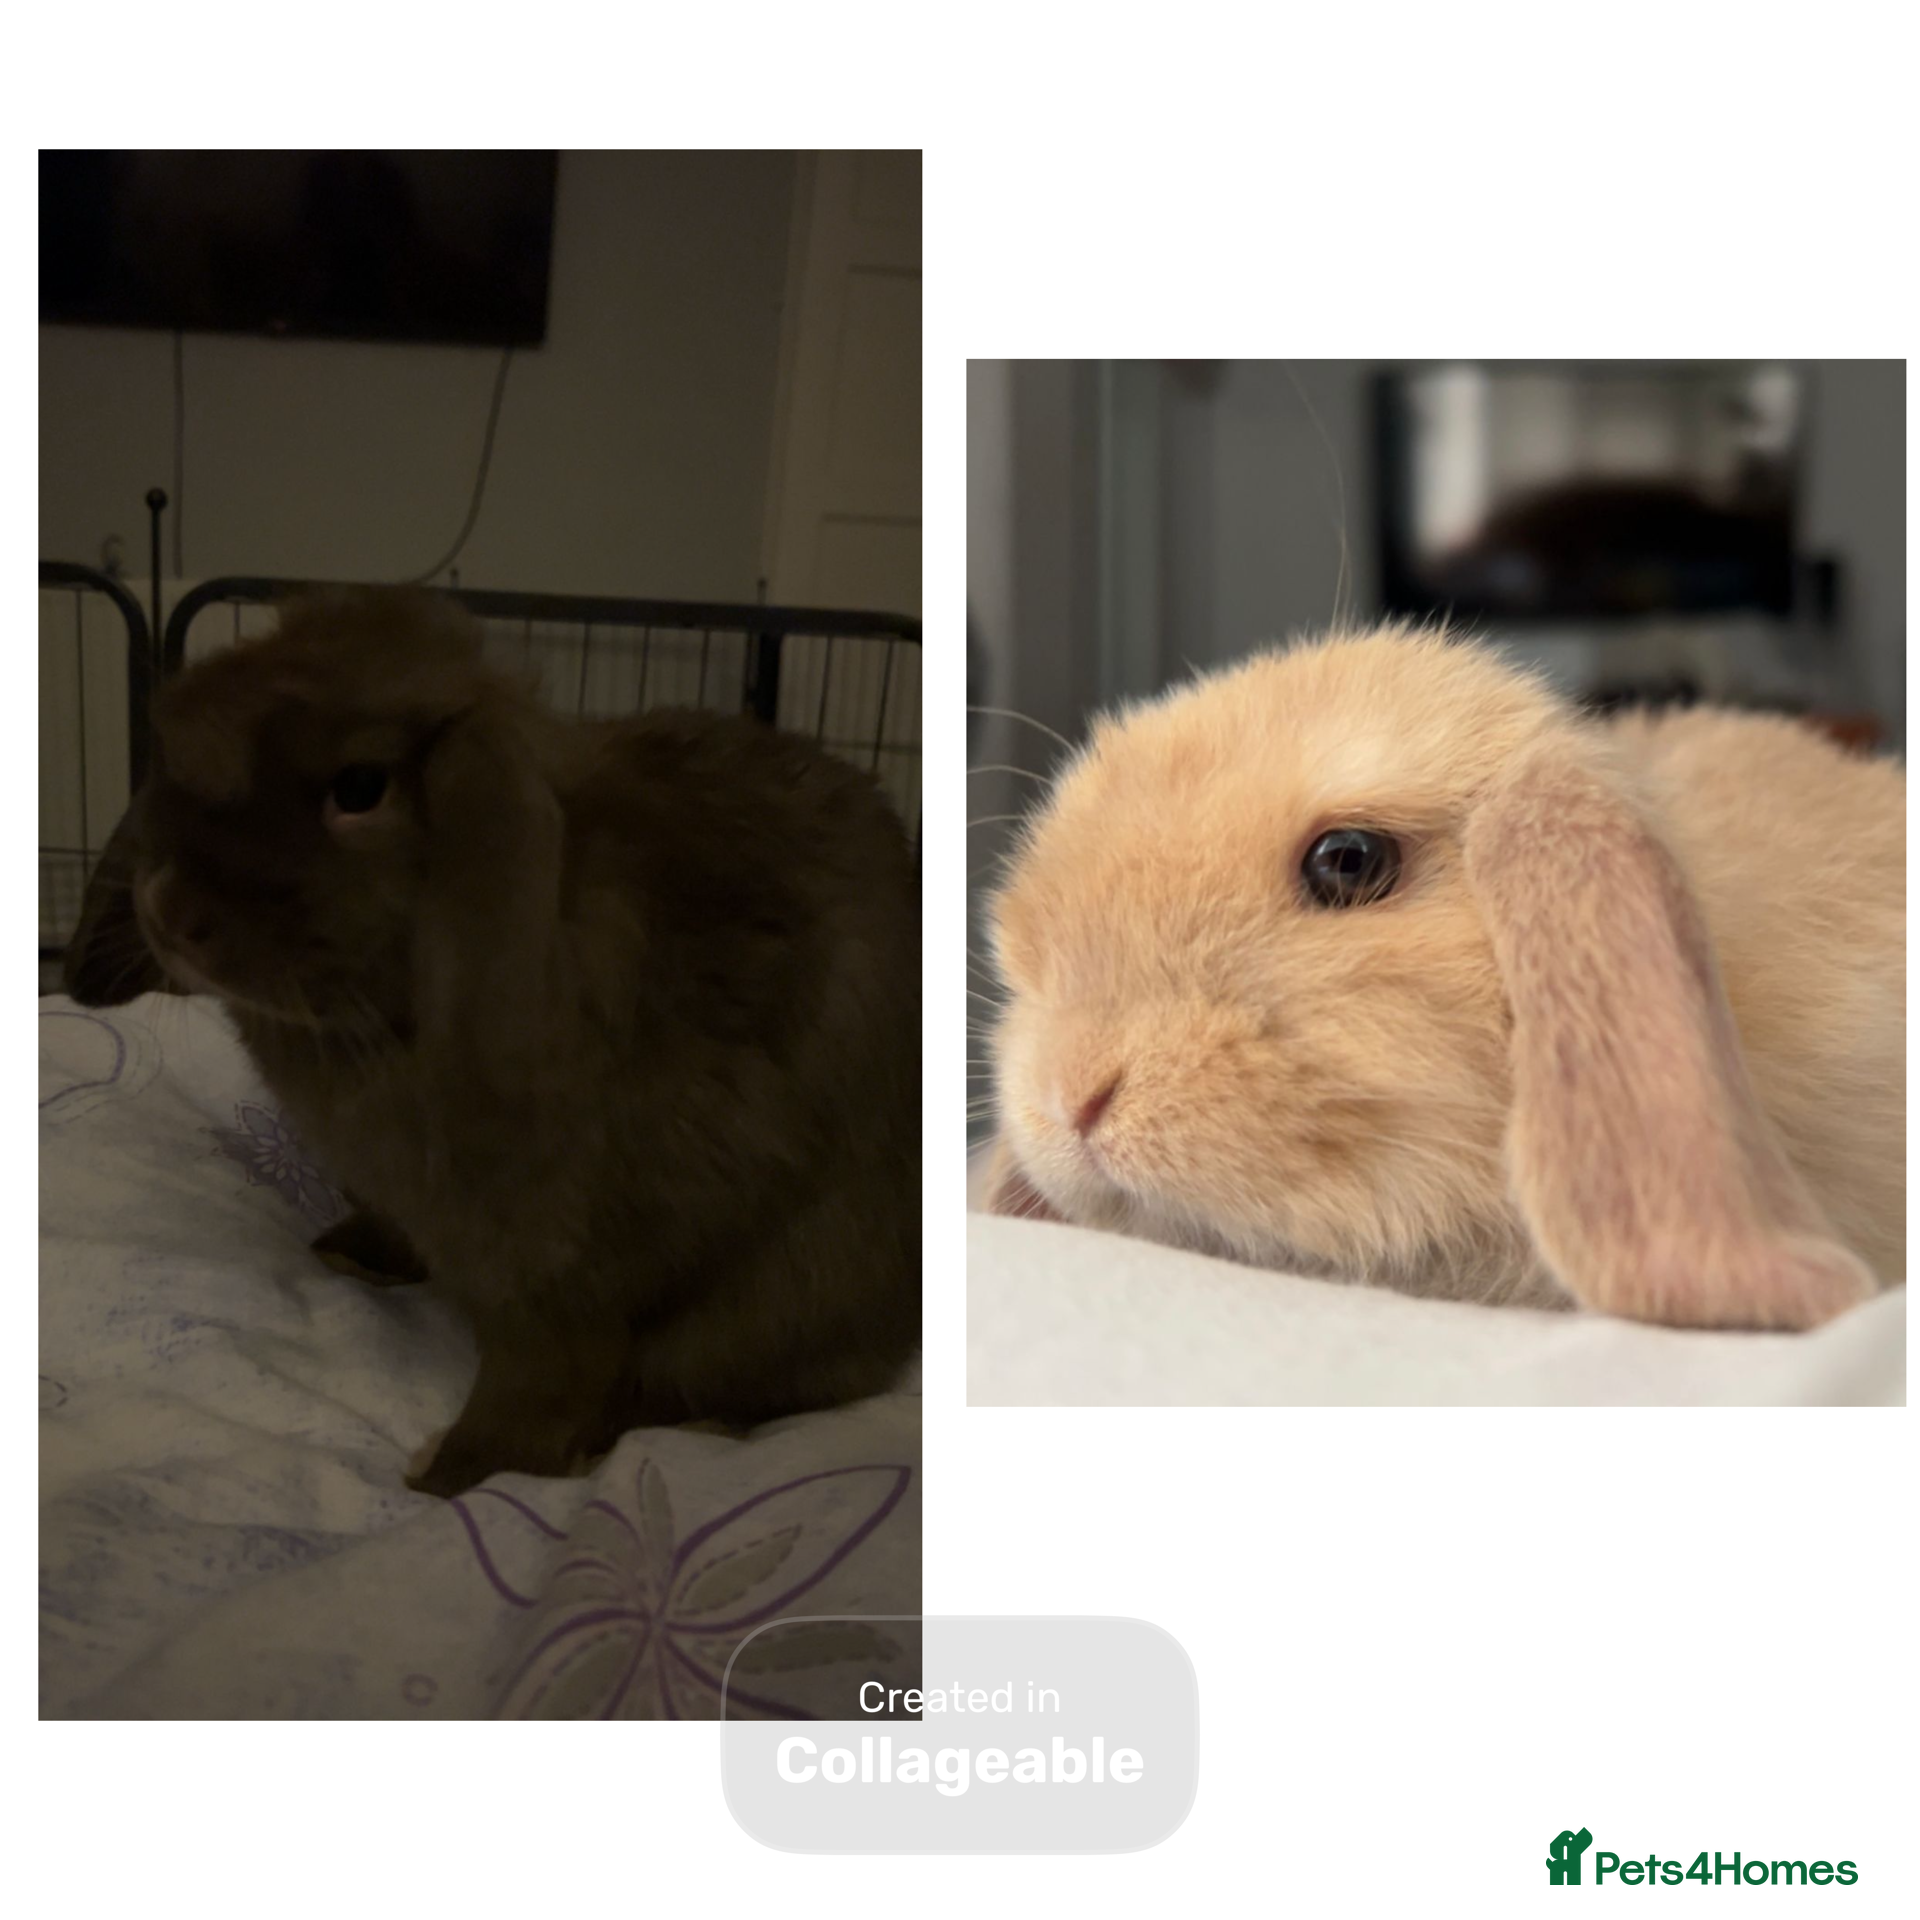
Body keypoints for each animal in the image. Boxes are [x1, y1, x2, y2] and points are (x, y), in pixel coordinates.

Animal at [65, 588, 920, 1494]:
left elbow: (533, 1390)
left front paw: (444, 1480)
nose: (166, 909)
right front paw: (353, 1256)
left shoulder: (557, 1277)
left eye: (360, 788)